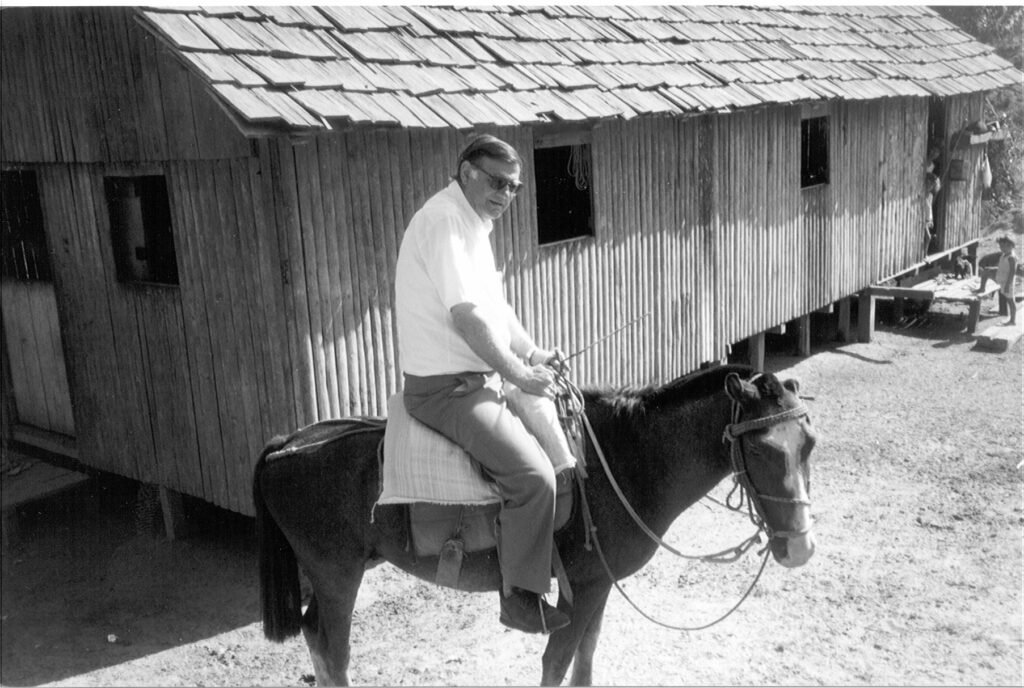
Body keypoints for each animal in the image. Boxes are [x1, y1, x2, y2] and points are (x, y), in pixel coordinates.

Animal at [253, 364, 818, 686]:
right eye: (762, 450)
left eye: (809, 444)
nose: (801, 549)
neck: (626, 457)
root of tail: (287, 443)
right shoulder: (581, 590)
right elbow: (557, 663)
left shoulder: (598, 586)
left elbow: (584, 660)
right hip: (337, 576)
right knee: (334, 651)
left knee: (315, 639)